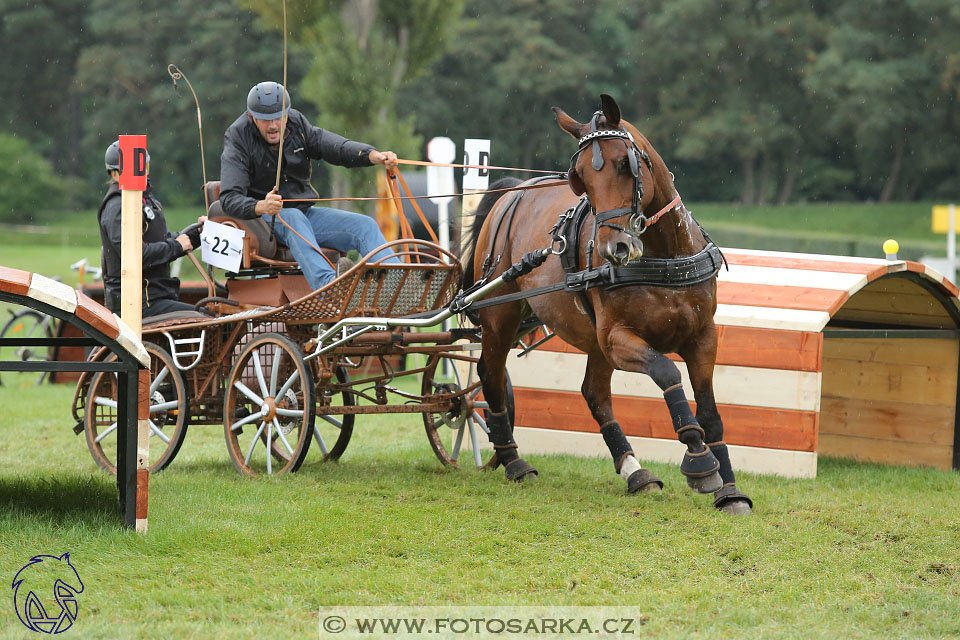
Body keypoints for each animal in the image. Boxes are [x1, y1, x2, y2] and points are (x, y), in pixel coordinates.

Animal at [464, 94, 752, 516]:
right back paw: (513, 460)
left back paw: (635, 472)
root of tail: (515, 190)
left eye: (623, 164)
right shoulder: (618, 339)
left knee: (594, 393)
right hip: (501, 315)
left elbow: (711, 412)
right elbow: (667, 371)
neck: (663, 257)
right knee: (491, 374)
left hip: (590, 339)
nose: (613, 249)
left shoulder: (703, 337)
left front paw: (729, 489)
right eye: (580, 176)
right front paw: (699, 461)